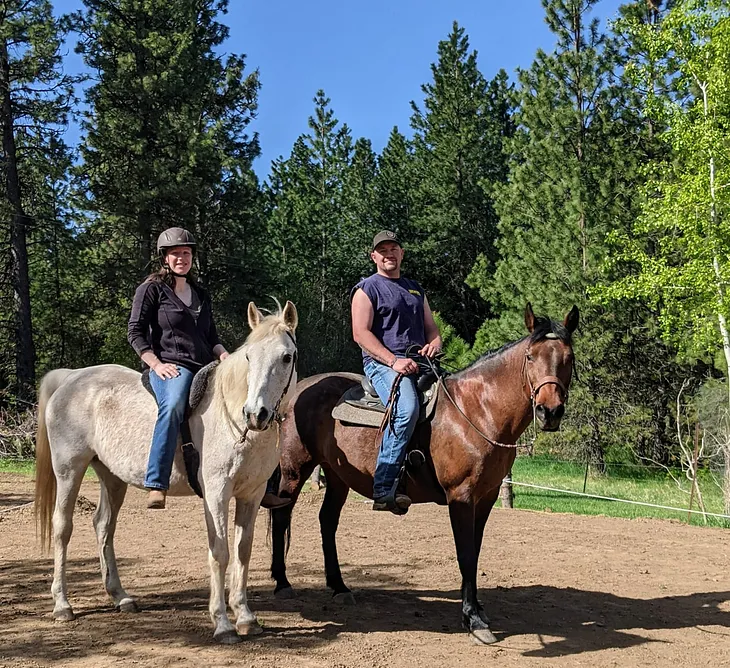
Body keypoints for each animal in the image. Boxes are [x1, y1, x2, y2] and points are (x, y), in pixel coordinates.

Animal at [36, 302, 298, 640]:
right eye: (249, 356)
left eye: (287, 357)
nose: (256, 414)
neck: (234, 420)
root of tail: (71, 378)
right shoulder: (216, 494)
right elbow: (220, 551)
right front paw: (222, 622)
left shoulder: (251, 495)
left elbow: (243, 551)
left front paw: (245, 616)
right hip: (69, 470)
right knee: (62, 527)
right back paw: (62, 605)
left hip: (111, 476)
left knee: (103, 525)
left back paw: (120, 597)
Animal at [268, 302, 576, 640]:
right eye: (530, 356)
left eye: (569, 358)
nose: (550, 411)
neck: (476, 411)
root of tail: (297, 392)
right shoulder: (461, 496)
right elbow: (465, 554)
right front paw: (473, 619)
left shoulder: (486, 498)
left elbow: (475, 552)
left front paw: (478, 610)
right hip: (294, 467)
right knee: (281, 514)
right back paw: (282, 583)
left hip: (337, 476)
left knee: (327, 521)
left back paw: (339, 587)